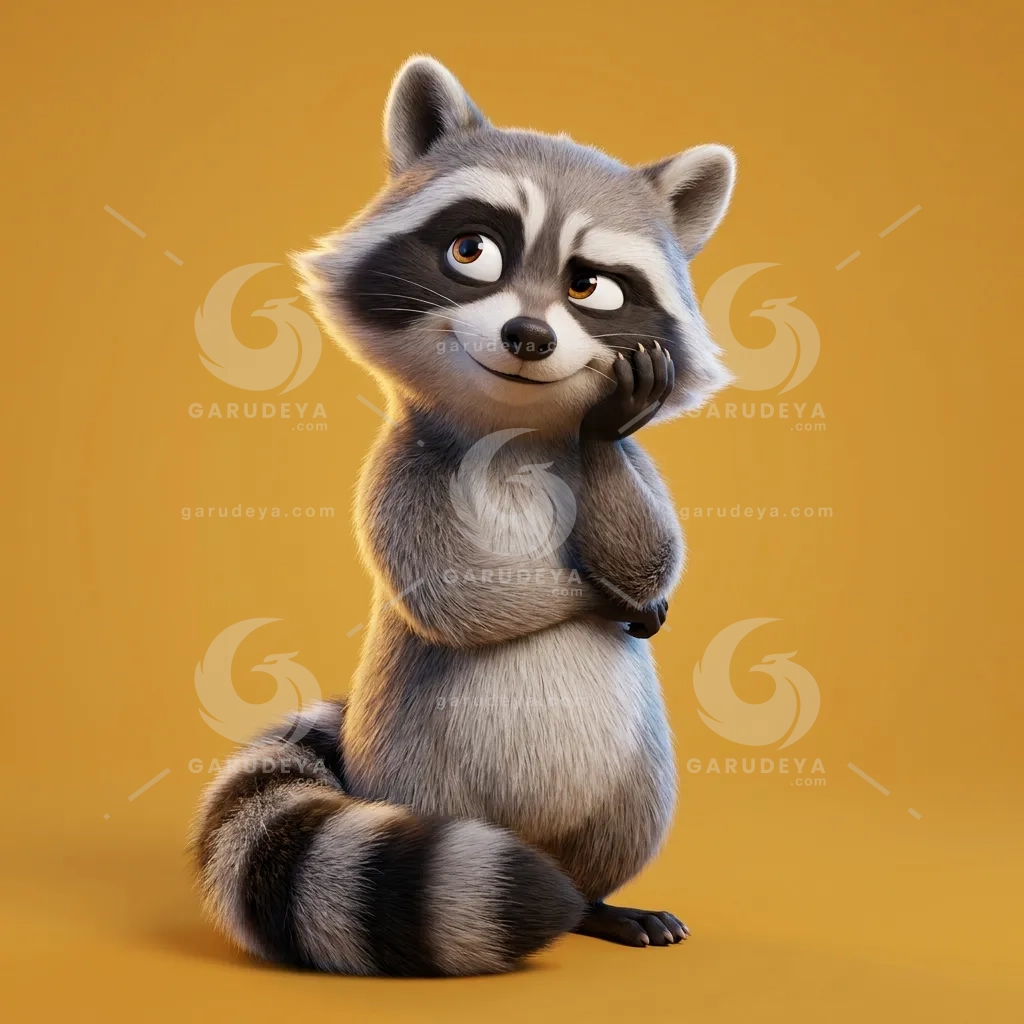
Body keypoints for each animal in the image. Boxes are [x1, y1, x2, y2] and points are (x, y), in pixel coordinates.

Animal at [191, 55, 735, 977]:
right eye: (472, 251)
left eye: (590, 285)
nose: (527, 337)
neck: (513, 432)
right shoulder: (403, 471)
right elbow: (458, 598)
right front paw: (591, 597)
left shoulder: (636, 472)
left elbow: (652, 541)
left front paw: (602, 436)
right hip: (411, 766)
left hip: (631, 783)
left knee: (620, 831)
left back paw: (599, 903)